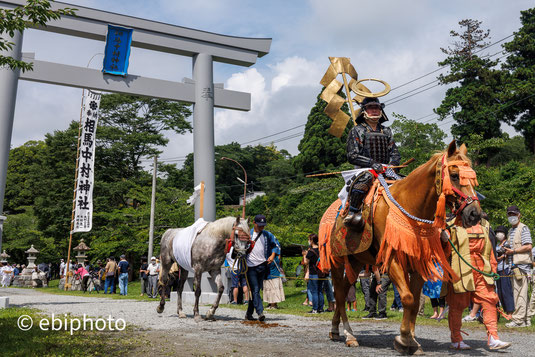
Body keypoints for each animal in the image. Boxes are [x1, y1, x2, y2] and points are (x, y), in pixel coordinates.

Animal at [326, 141, 482, 354]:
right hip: (337, 260)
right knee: (339, 294)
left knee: (343, 291)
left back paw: (336, 330)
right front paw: (404, 339)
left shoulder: (418, 263)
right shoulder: (392, 260)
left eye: (473, 177)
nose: (475, 214)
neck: (410, 207)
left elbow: (414, 302)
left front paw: (412, 340)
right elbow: (407, 298)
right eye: (455, 175)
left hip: (356, 261)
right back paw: (349, 335)